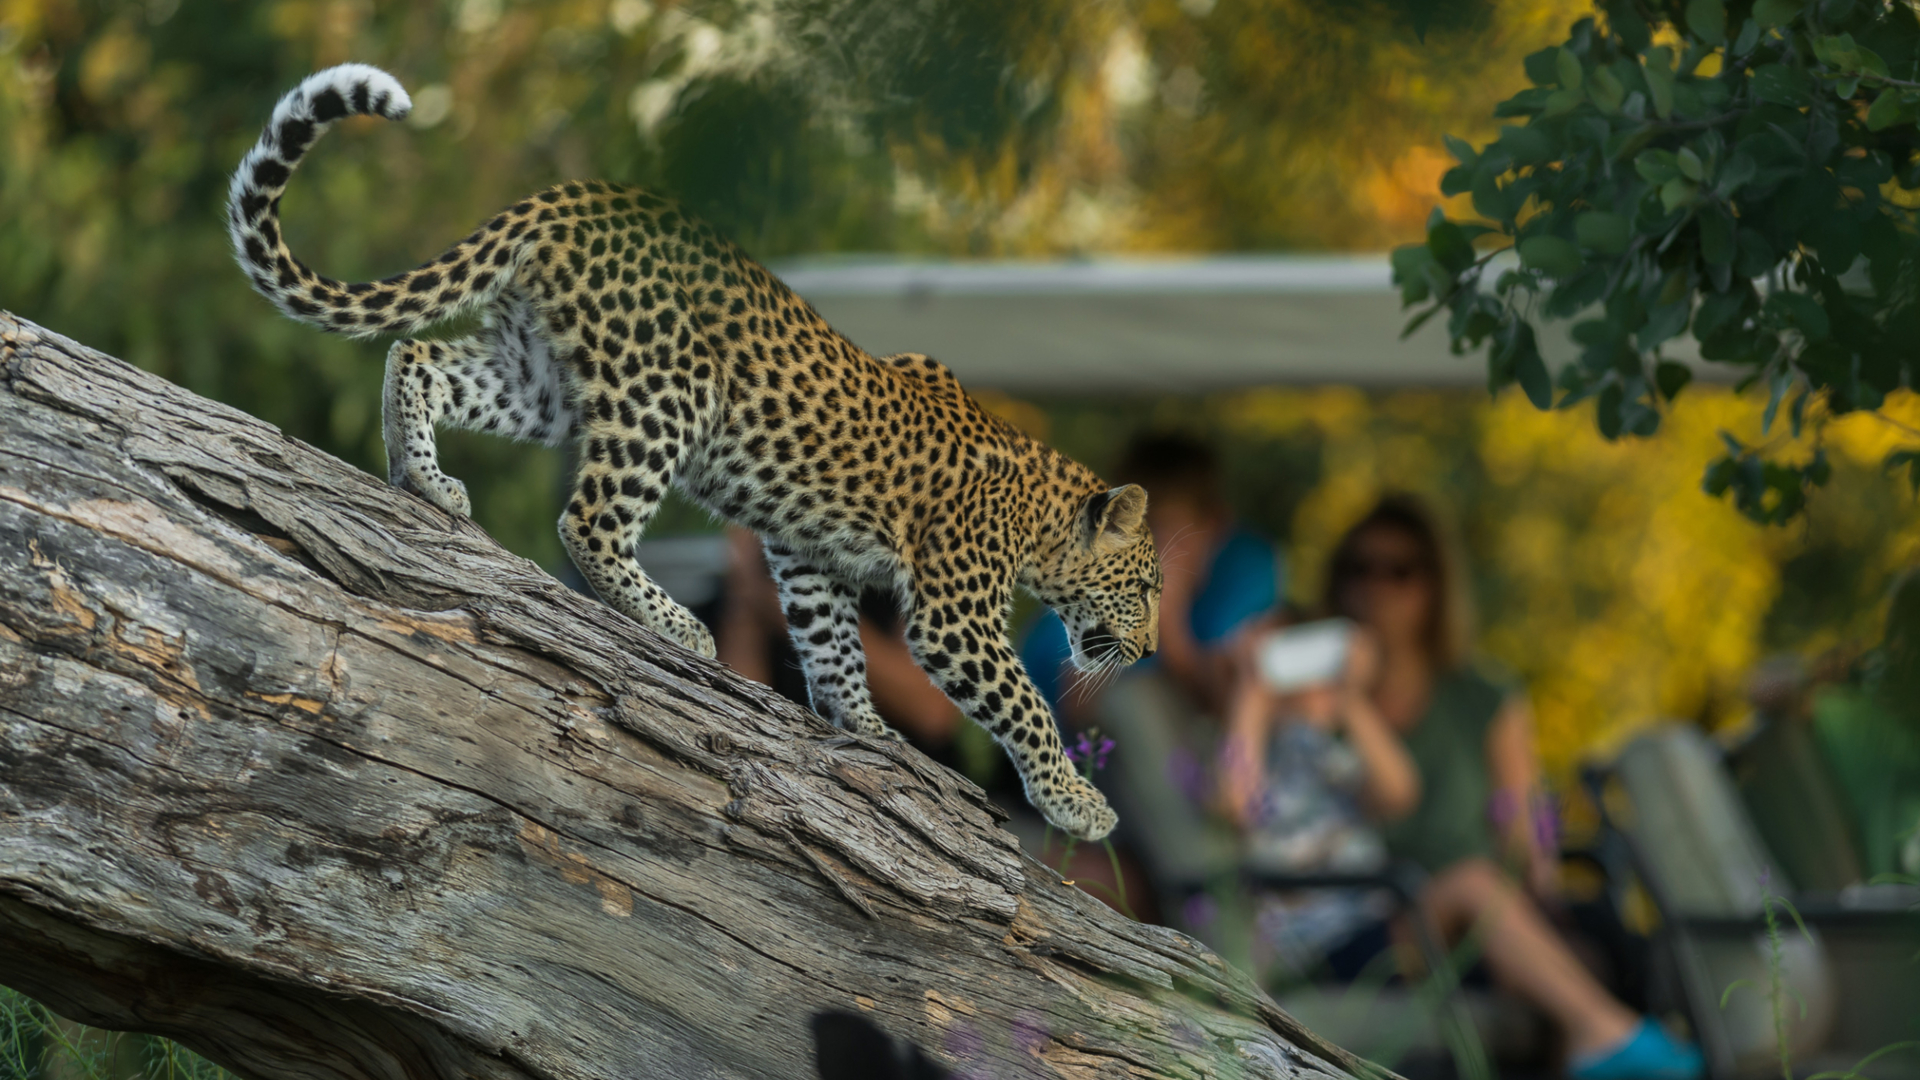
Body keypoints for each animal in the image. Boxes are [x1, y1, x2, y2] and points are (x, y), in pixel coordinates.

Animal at [227, 64, 1162, 841]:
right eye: (1149, 587)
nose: (1152, 653)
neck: (1041, 516)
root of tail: (573, 195)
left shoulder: (810, 555)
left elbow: (834, 645)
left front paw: (862, 726)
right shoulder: (955, 611)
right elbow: (1025, 703)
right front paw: (1078, 804)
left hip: (539, 381)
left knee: (414, 356)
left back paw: (423, 479)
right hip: (665, 390)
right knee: (587, 520)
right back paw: (674, 623)